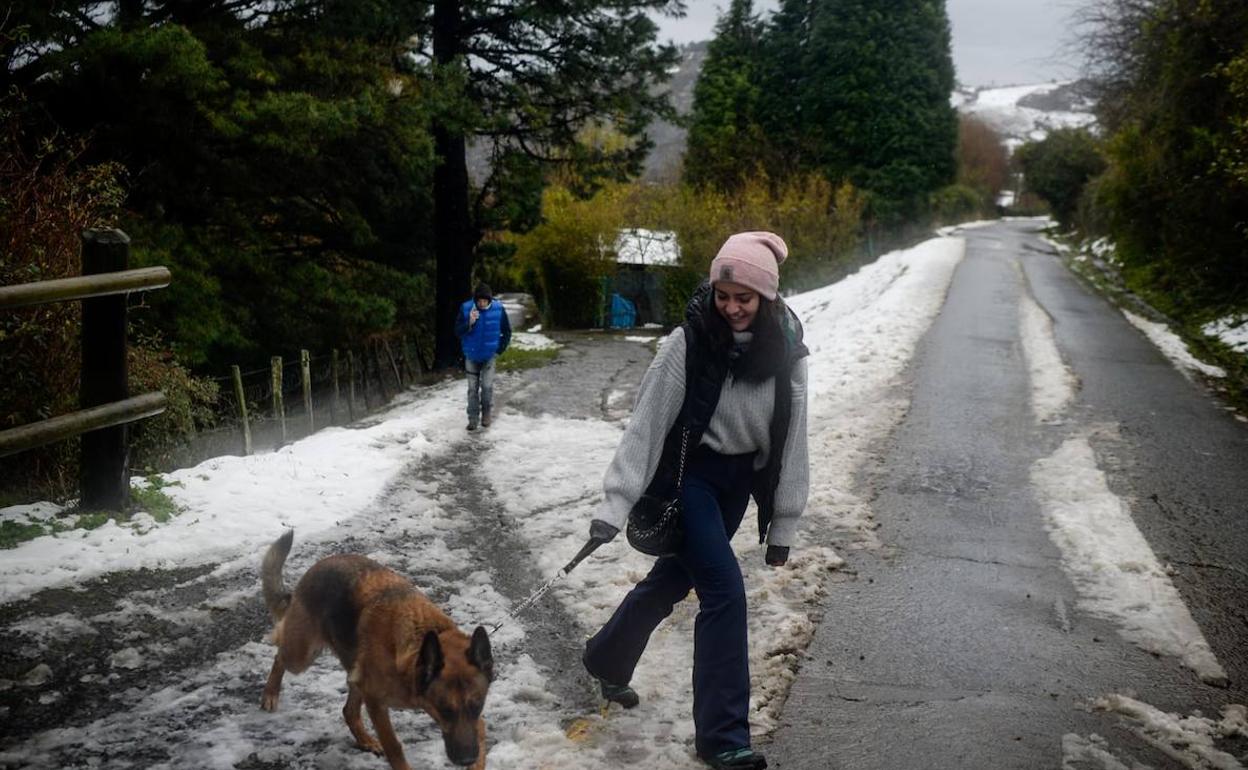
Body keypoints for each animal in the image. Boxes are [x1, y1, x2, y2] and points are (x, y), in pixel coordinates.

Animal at [258, 529, 491, 768]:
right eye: (445, 709)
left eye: (477, 706)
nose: (466, 759)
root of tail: (317, 567)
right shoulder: (376, 702)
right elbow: (394, 746)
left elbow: (480, 735)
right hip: (302, 655)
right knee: (280, 655)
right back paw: (270, 693)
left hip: (354, 674)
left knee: (349, 711)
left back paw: (365, 740)